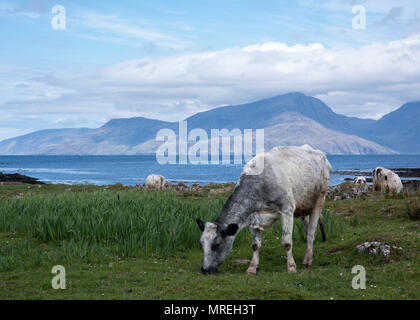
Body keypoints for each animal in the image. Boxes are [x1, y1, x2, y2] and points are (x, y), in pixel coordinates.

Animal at [196, 145, 332, 276]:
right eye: (201, 243)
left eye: (217, 244)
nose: (204, 270)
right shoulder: (253, 217)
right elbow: (255, 245)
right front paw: (252, 268)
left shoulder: (287, 210)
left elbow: (287, 242)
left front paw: (291, 267)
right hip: (303, 207)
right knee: (307, 228)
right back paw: (310, 254)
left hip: (319, 200)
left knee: (311, 233)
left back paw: (307, 260)